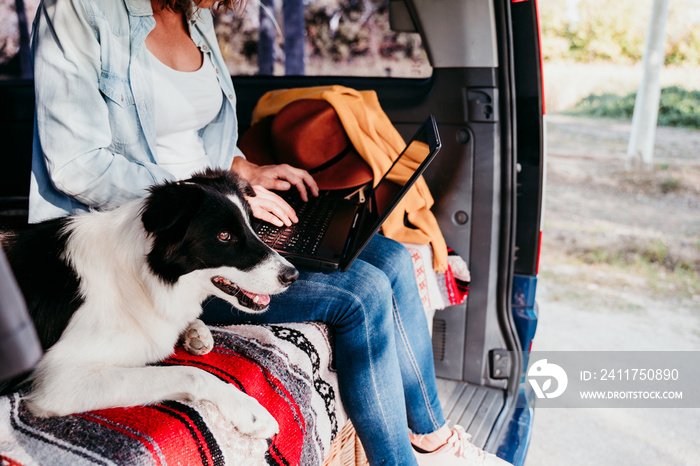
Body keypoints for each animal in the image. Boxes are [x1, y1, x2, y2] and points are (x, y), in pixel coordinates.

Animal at [0, 169, 296, 438]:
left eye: (253, 227)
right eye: (224, 236)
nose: (292, 275)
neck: (140, 278)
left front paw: (195, 331)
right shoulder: (62, 382)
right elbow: (193, 374)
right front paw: (250, 412)